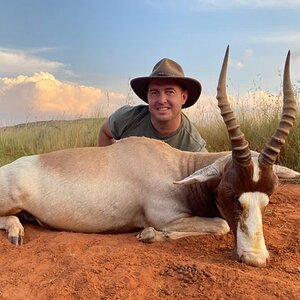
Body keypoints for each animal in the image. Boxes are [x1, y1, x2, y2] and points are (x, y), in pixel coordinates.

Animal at [0, 47, 298, 268]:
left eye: (268, 198)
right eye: (230, 192)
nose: (255, 259)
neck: (177, 168)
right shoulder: (166, 217)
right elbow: (222, 224)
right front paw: (150, 234)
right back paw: (16, 232)